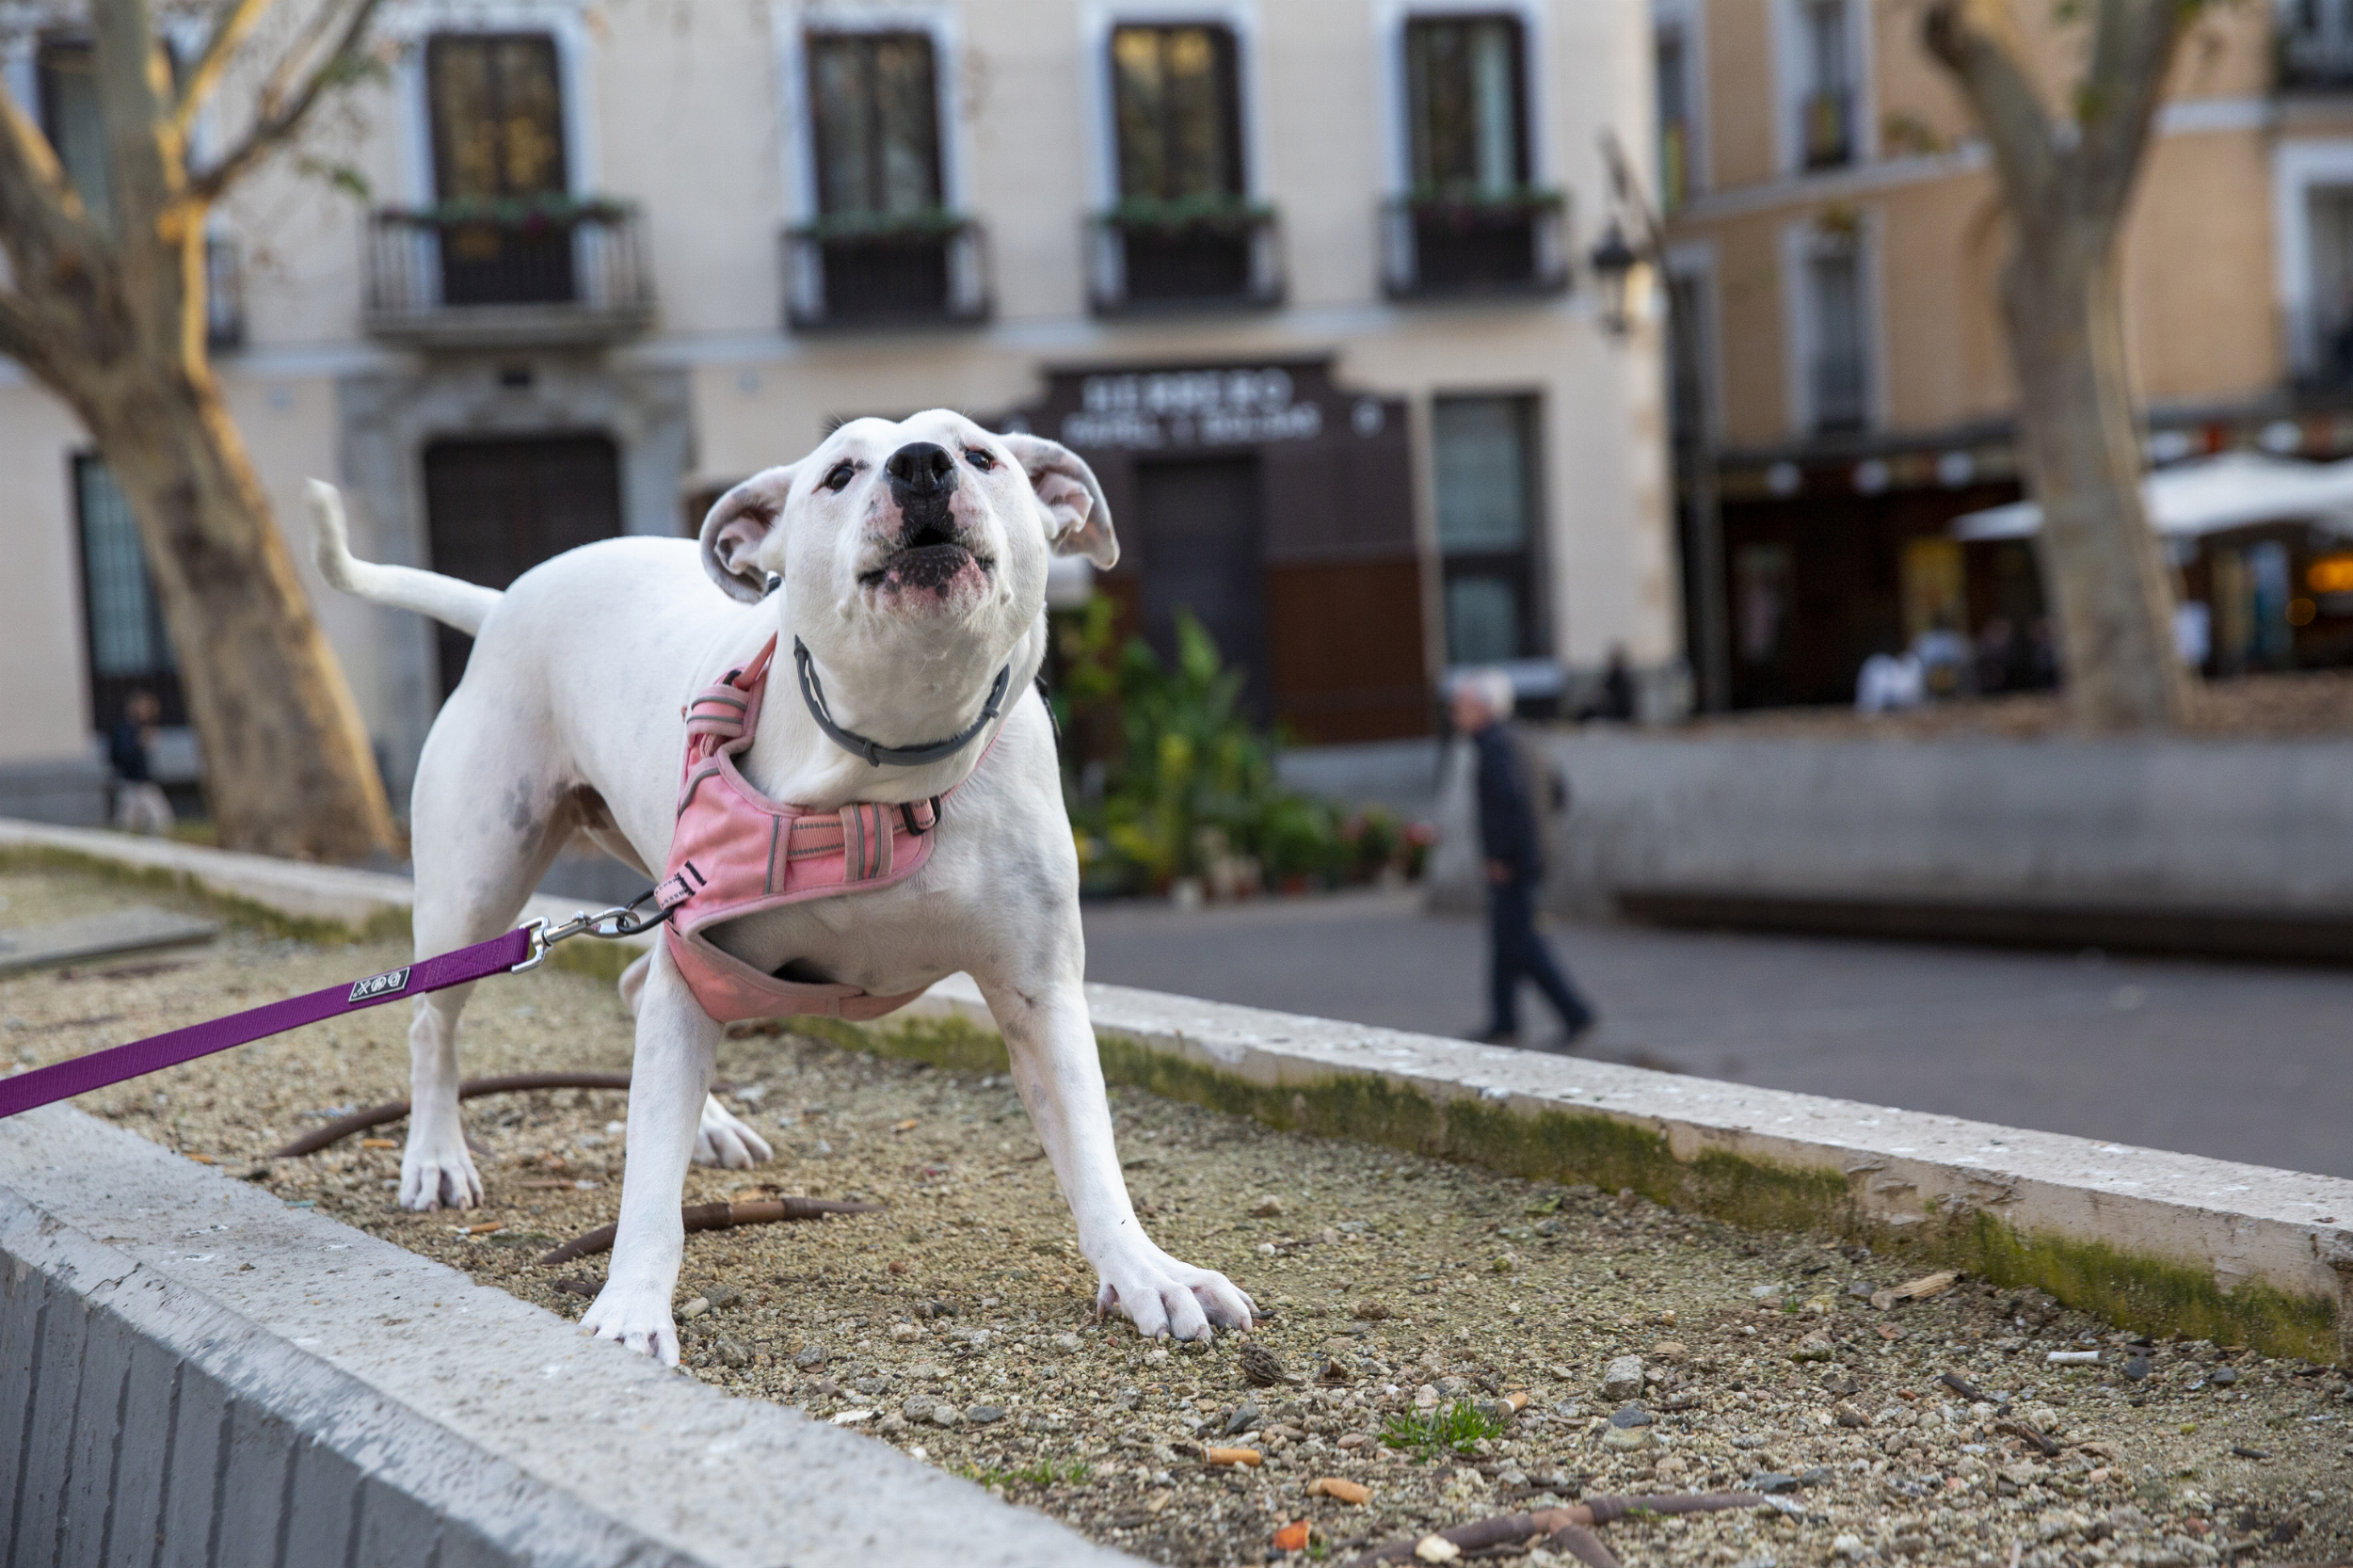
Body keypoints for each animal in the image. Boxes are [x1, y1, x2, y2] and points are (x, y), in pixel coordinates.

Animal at [327, 411, 1271, 1355]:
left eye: (980, 455)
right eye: (839, 473)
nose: (921, 466)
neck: (890, 766)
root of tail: (501, 604)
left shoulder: (1040, 995)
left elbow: (1091, 1150)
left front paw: (1147, 1271)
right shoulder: (692, 946)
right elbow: (649, 1180)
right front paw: (631, 1312)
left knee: (637, 993)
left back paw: (707, 1125)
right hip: (481, 890)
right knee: (435, 1025)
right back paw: (437, 1158)